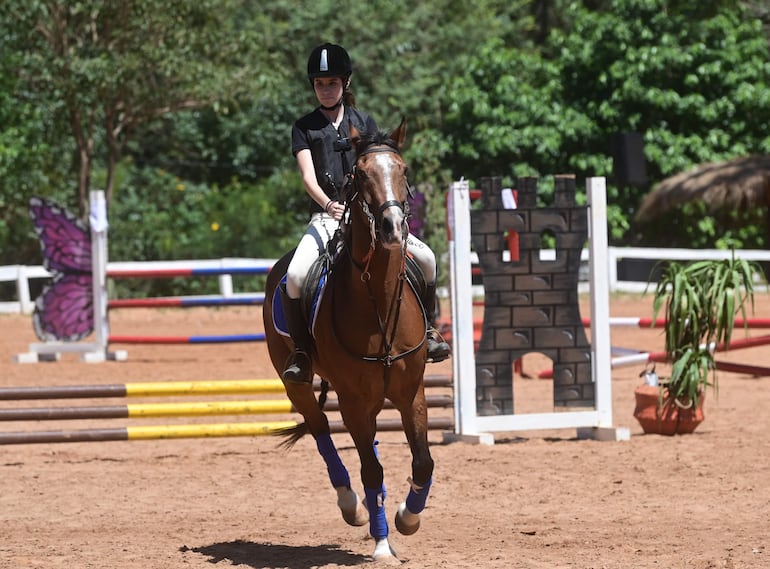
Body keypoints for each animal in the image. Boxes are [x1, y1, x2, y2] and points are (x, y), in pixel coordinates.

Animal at [262, 118, 432, 560]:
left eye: (403, 170)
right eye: (361, 174)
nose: (393, 228)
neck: (379, 299)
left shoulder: (411, 392)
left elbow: (422, 462)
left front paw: (407, 519)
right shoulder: (353, 400)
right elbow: (369, 468)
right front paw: (383, 543)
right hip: (298, 382)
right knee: (321, 430)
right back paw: (352, 506)